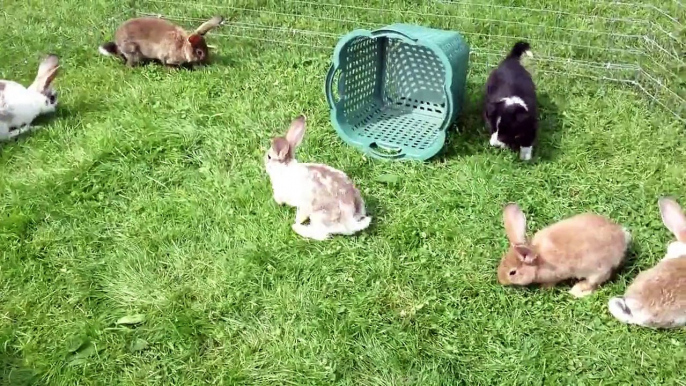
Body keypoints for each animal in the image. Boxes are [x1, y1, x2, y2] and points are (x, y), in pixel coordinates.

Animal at [498, 204, 632, 298]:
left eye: (512, 273)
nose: (501, 281)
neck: (538, 258)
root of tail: (622, 237)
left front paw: (544, 288)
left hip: (597, 270)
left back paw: (577, 290)